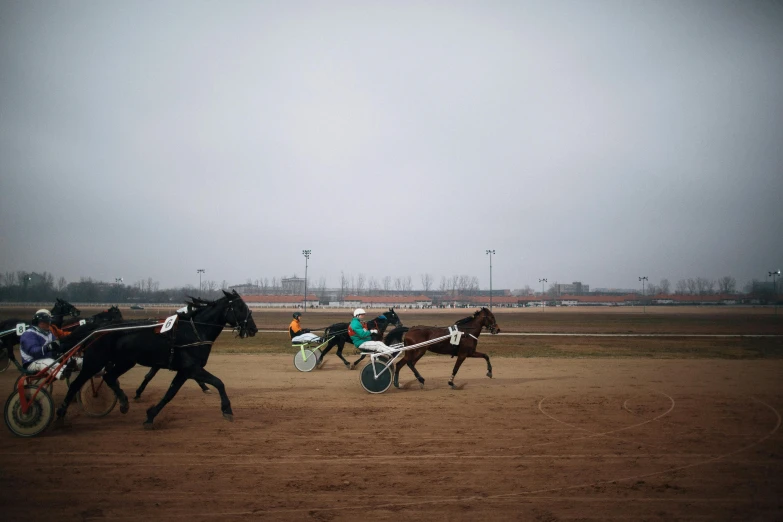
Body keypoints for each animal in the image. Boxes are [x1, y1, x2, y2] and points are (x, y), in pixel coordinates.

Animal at [56, 288, 258, 426]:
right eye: (240, 307)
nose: (253, 329)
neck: (194, 331)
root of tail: (97, 329)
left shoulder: (184, 371)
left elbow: (170, 393)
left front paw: (150, 415)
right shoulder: (192, 368)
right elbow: (219, 383)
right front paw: (227, 409)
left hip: (125, 361)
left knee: (109, 377)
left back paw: (124, 403)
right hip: (95, 361)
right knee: (76, 384)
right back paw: (60, 413)